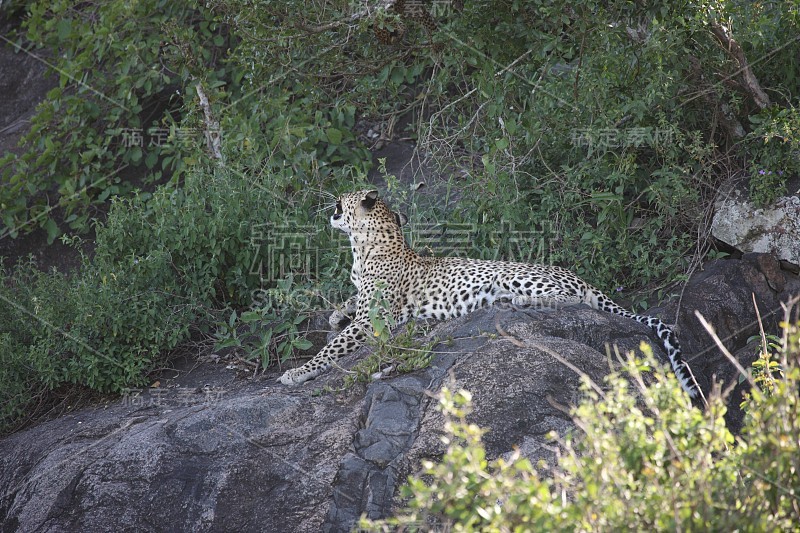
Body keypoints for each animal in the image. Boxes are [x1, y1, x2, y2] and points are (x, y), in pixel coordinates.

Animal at [280, 189, 700, 396]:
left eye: (346, 196)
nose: (332, 200)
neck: (363, 246)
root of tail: (580, 277)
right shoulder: (363, 299)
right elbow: (349, 299)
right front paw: (336, 312)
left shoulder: (375, 320)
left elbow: (331, 350)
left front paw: (297, 373)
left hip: (514, 276)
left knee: (568, 299)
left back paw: (511, 301)